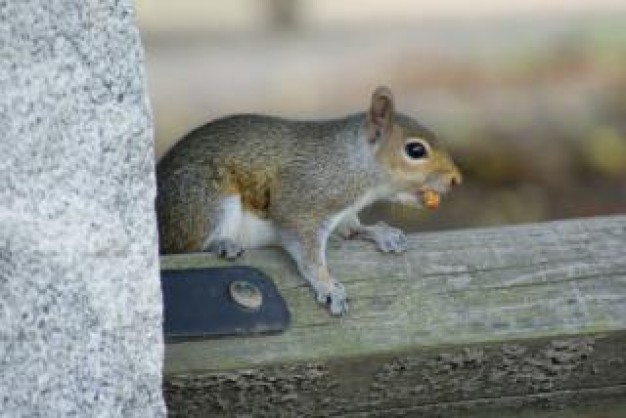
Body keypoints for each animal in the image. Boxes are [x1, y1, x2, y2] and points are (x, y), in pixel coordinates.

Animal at [155, 89, 458, 316]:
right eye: (415, 150)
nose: (456, 179)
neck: (353, 164)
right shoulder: (305, 200)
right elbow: (306, 249)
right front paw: (326, 284)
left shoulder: (343, 211)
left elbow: (351, 228)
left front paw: (378, 232)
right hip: (204, 198)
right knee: (185, 245)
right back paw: (222, 243)